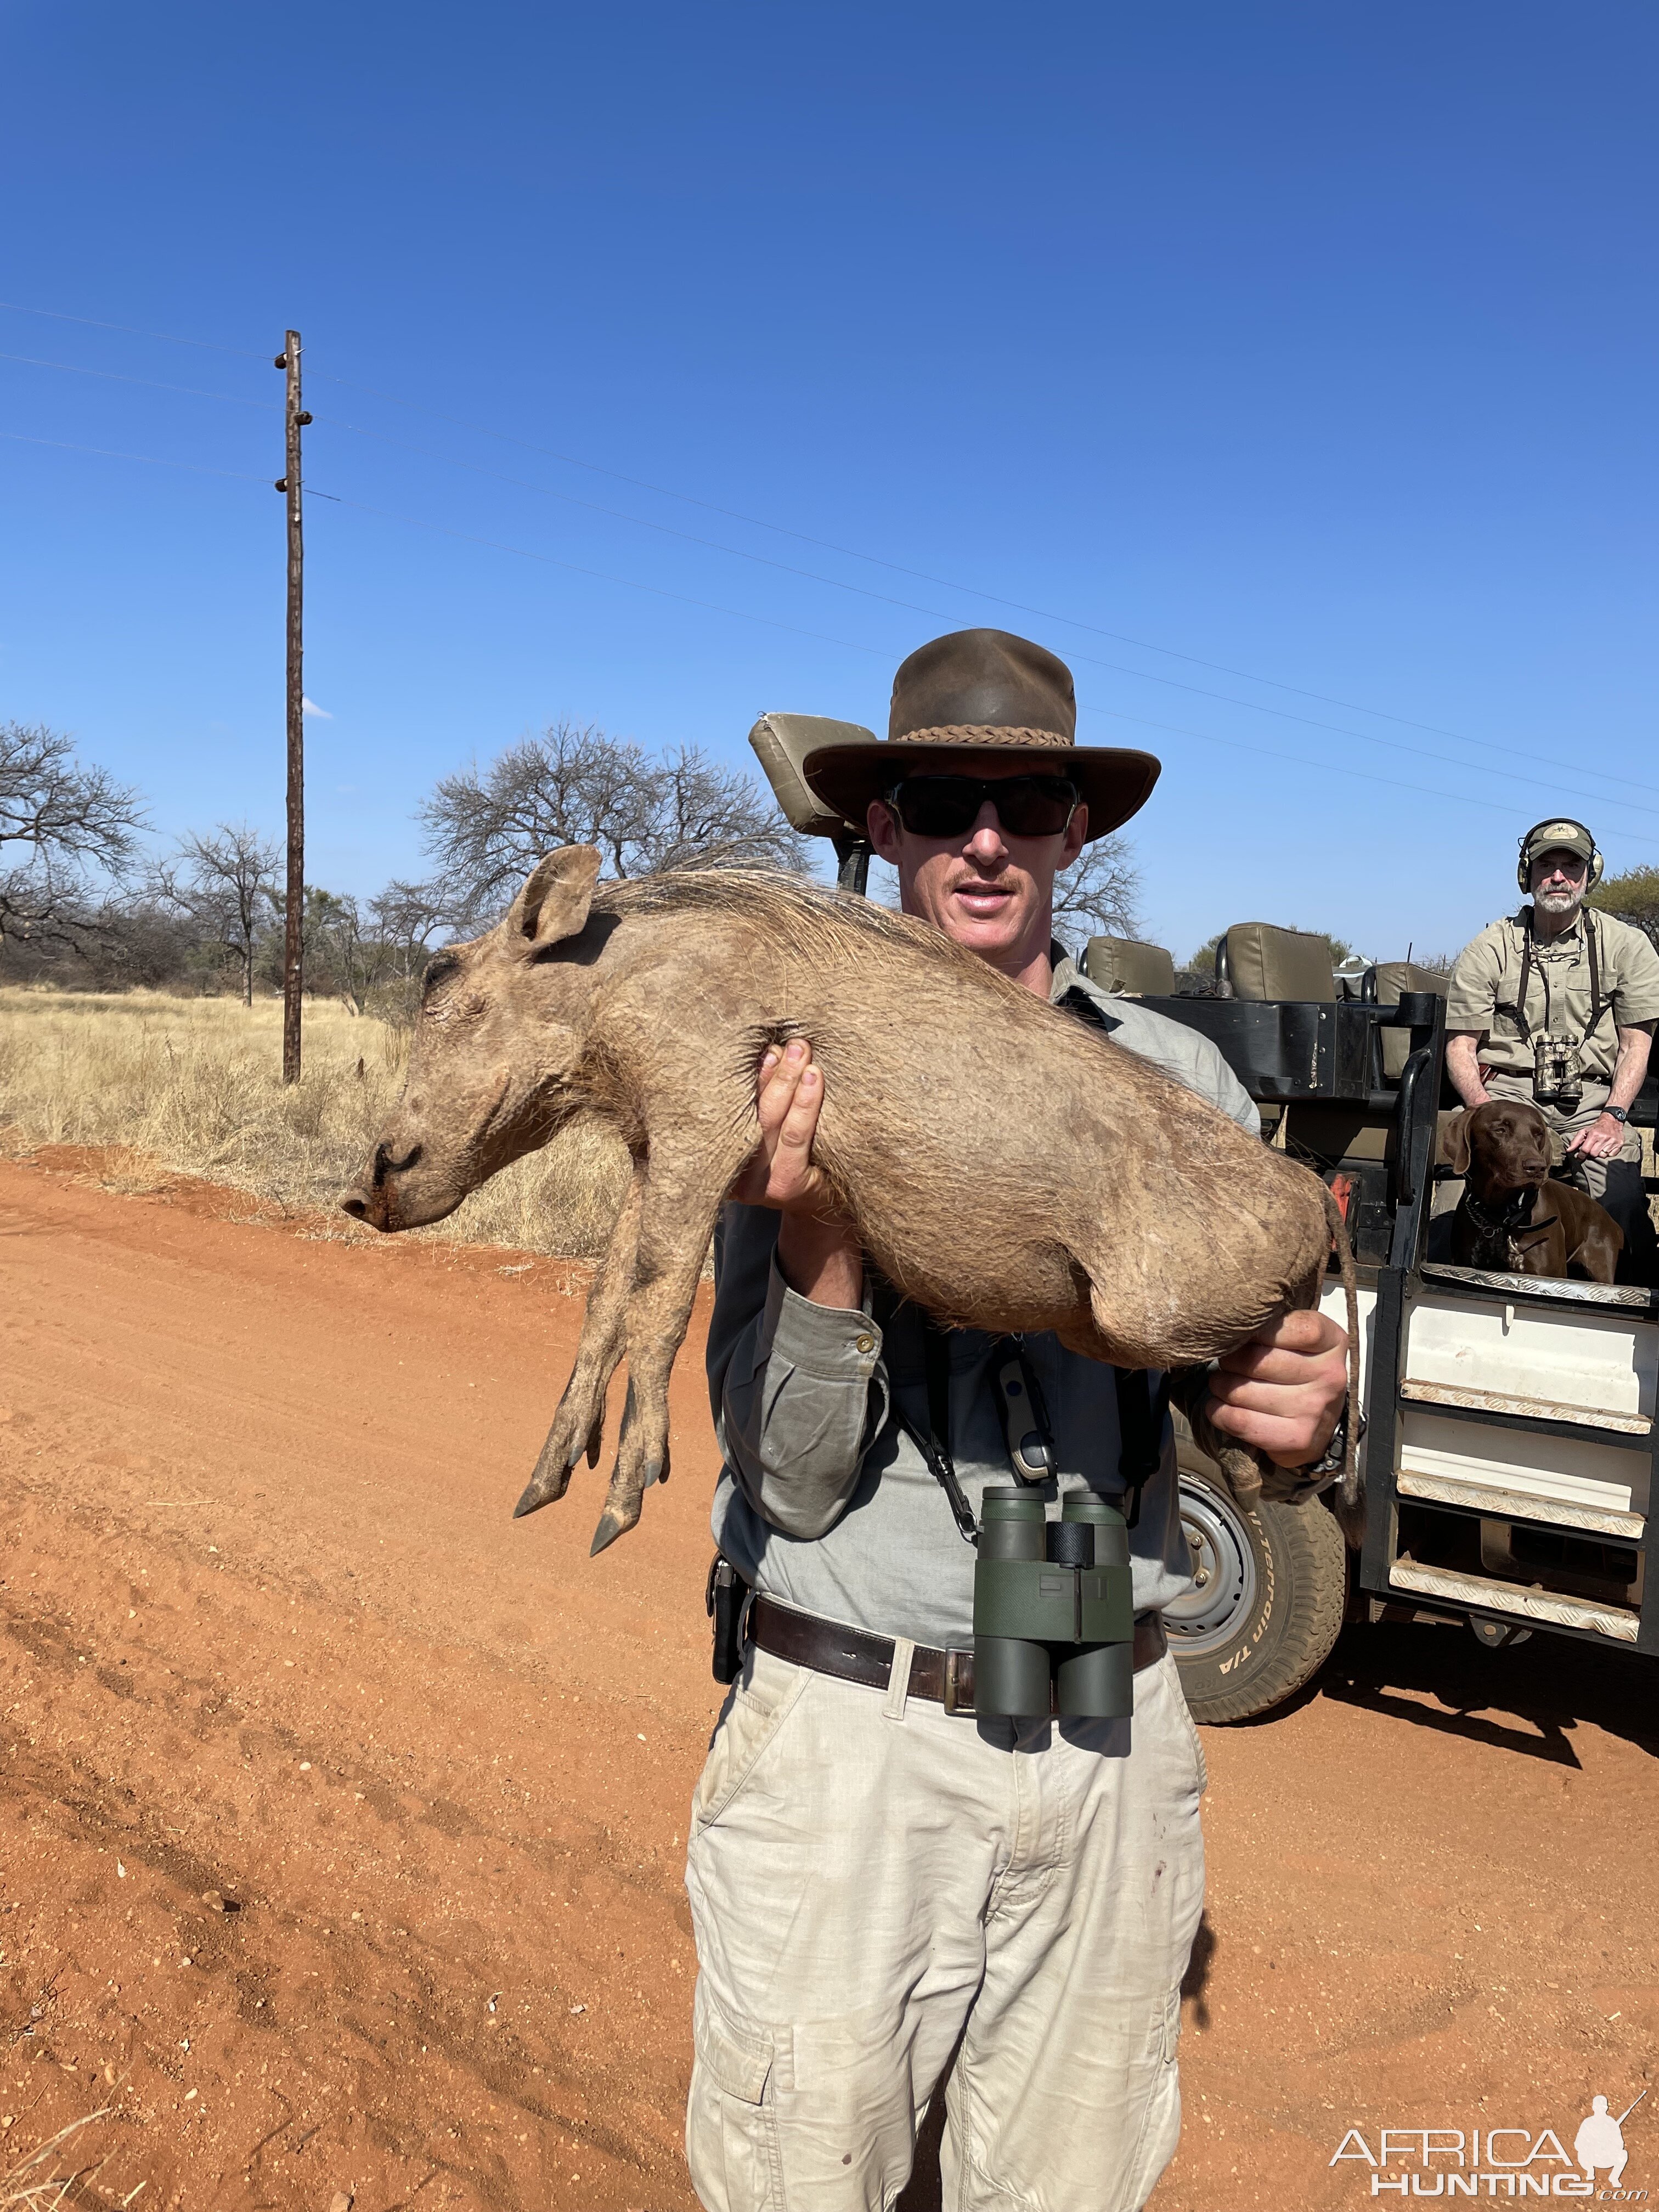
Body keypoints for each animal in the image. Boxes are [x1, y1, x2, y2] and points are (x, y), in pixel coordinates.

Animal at [1451, 1101, 1628, 1291]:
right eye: (1500, 1130)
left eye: (1538, 1134)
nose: (1536, 1167)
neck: (1502, 1215)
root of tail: (1611, 1220)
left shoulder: (1548, 1275)